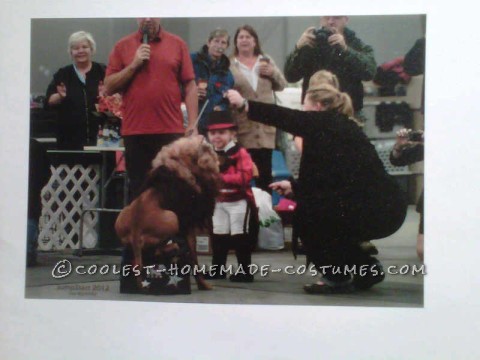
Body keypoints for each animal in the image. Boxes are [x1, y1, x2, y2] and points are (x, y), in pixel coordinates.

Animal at [115, 136, 220, 292]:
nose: (206, 138)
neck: (182, 163)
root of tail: (135, 229)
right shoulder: (188, 224)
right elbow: (194, 257)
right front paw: (203, 284)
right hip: (172, 218)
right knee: (159, 251)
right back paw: (175, 249)